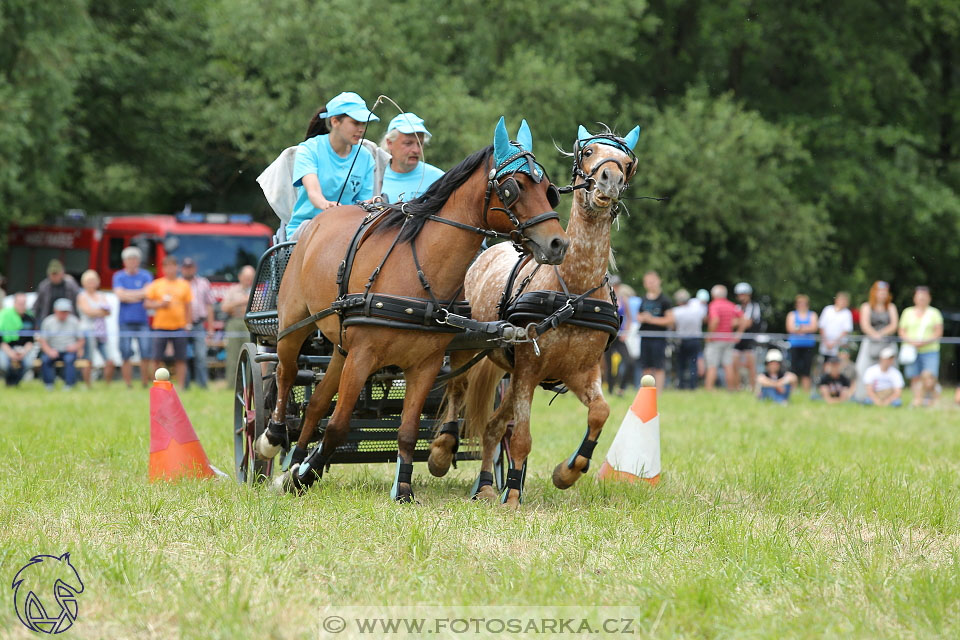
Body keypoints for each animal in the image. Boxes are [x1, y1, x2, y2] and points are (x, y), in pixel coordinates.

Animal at [256, 117, 568, 502]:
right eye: (514, 187)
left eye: (549, 189)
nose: (558, 243)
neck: (417, 269)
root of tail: (318, 222)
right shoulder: (364, 355)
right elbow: (339, 425)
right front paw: (305, 474)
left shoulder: (424, 365)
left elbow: (405, 430)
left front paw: (402, 489)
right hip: (295, 324)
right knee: (285, 374)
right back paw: (272, 441)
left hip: (341, 348)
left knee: (316, 404)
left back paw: (294, 462)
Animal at [430, 125, 640, 504]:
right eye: (588, 152)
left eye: (628, 163)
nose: (610, 178)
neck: (572, 292)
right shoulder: (528, 369)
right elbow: (522, 439)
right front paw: (513, 495)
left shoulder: (582, 371)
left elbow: (600, 413)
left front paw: (568, 471)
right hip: (467, 345)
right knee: (457, 388)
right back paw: (443, 449)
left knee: (492, 426)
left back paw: (486, 485)